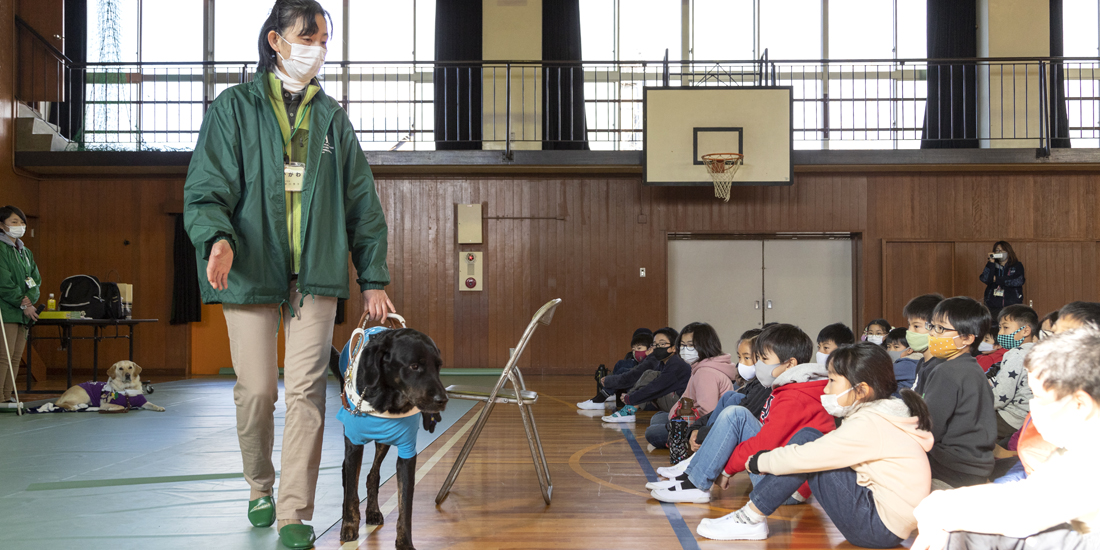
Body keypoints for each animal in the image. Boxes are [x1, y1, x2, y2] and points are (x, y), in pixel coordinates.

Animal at [325, 325, 446, 550]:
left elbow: (405, 504)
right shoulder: (354, 443)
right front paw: (349, 525)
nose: (442, 400)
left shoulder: (407, 453)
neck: (388, 399)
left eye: (438, 366)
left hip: (384, 440)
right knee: (348, 476)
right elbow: (351, 492)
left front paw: (405, 542)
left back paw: (372, 511)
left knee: (372, 476)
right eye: (414, 366)